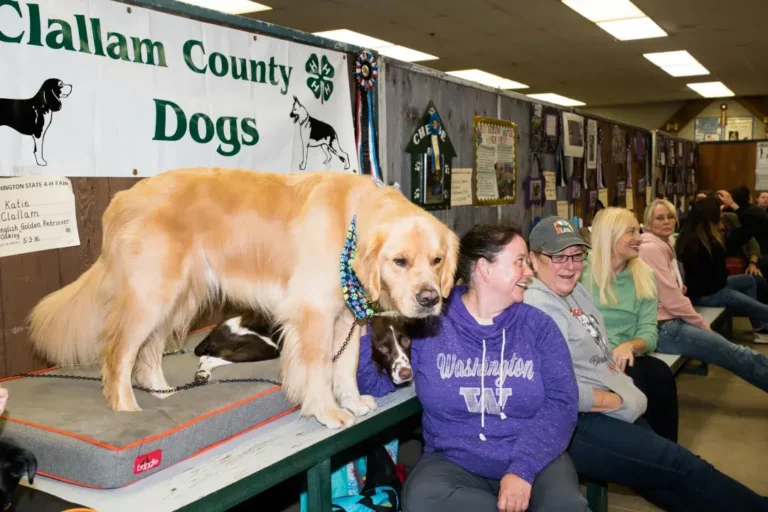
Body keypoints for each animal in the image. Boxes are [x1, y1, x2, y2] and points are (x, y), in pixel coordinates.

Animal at [195, 310, 412, 386]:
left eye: (407, 341)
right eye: (382, 348)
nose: (406, 373)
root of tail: (215, 331)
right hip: (264, 346)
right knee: (209, 358)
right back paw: (202, 374)